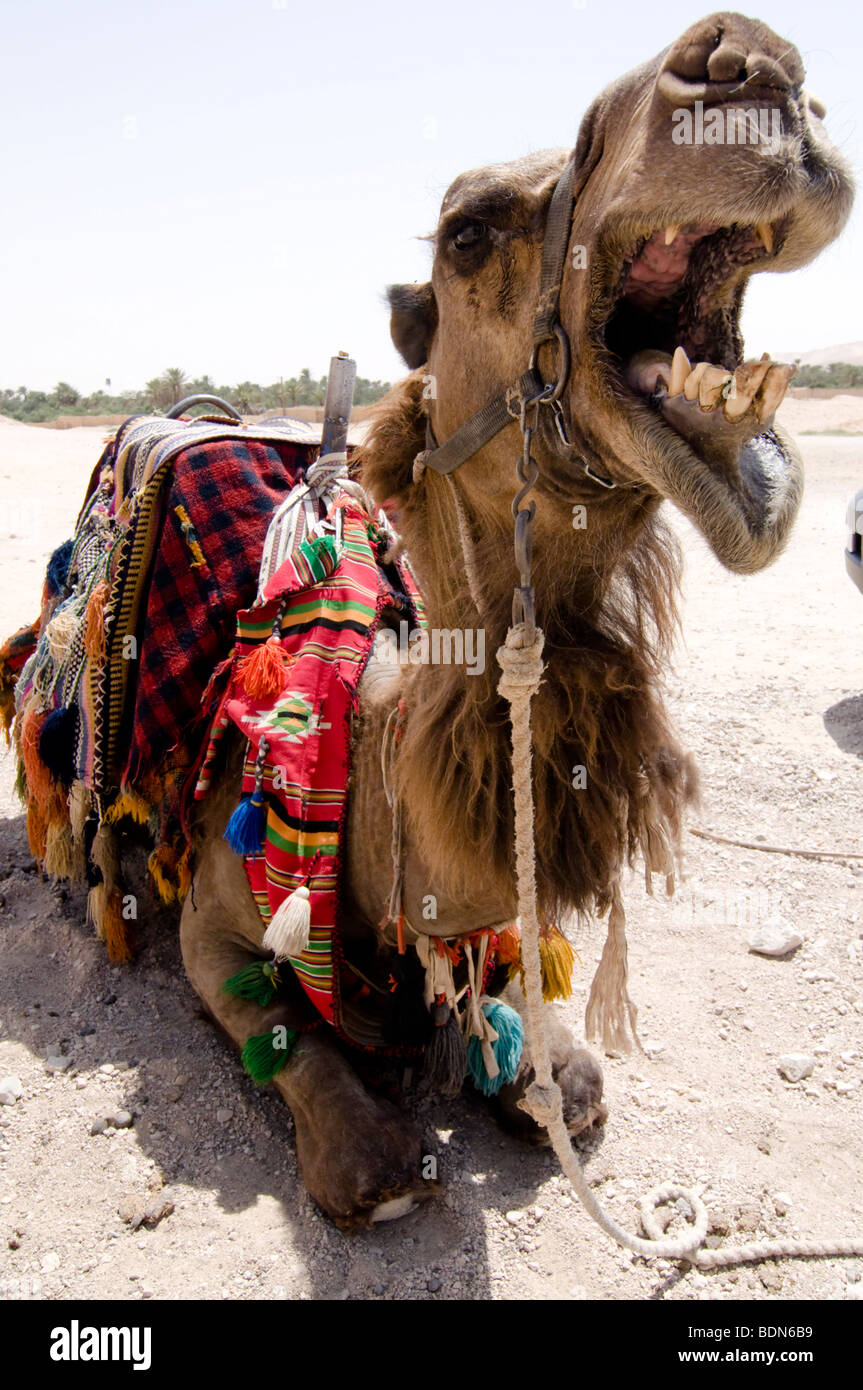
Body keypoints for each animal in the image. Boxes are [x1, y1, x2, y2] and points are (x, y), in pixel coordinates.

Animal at [10, 13, 850, 1228]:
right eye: (467, 230)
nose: (747, 71)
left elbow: (540, 1036)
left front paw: (531, 1063)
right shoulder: (214, 914)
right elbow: (299, 1048)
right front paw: (377, 1157)